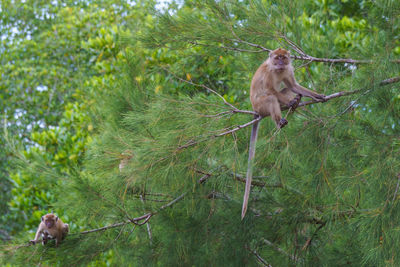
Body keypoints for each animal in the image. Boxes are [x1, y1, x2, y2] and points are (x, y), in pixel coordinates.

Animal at [241, 48, 324, 220]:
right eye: (277, 58)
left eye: (283, 58)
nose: (280, 63)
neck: (278, 70)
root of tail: (254, 109)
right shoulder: (268, 72)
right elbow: (271, 90)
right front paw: (290, 102)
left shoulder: (288, 70)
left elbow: (293, 85)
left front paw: (317, 95)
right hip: (260, 106)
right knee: (271, 97)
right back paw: (281, 120)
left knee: (286, 90)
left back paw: (296, 102)